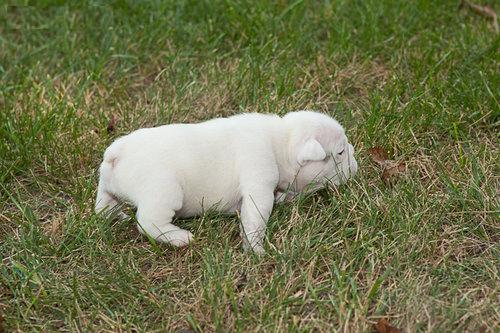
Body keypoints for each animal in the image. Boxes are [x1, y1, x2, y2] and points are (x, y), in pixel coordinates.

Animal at [95, 110, 358, 253]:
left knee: (104, 207)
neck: (282, 141)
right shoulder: (258, 183)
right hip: (164, 192)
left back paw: (116, 215)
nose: (356, 162)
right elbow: (255, 219)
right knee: (147, 222)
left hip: (108, 188)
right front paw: (256, 249)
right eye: (340, 152)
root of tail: (116, 154)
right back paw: (179, 237)